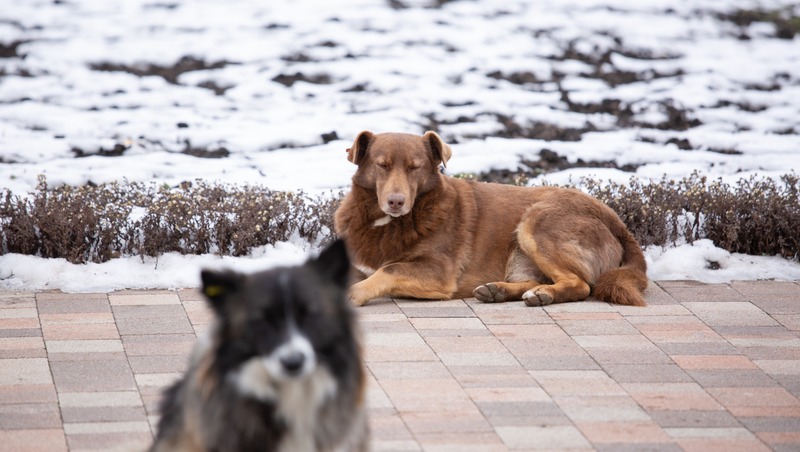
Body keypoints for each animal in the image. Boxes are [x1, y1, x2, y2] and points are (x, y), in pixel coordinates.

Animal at [334, 131, 648, 308]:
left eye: (415, 168)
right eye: (382, 165)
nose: (396, 202)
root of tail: (617, 222)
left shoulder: (438, 272)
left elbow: (387, 270)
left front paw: (353, 294)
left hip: (536, 223)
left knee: (580, 284)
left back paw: (542, 295)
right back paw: (499, 290)